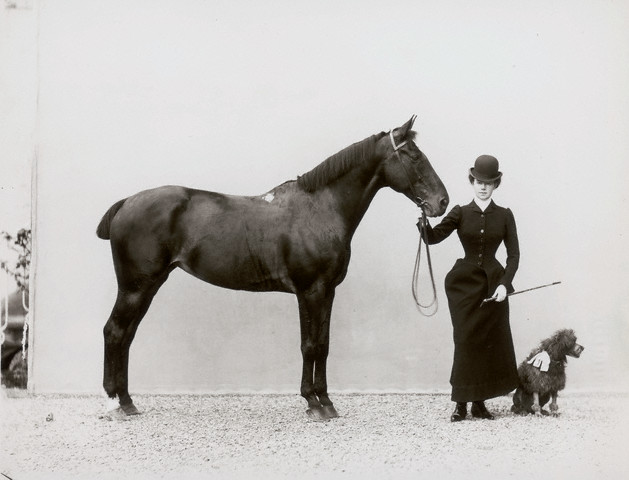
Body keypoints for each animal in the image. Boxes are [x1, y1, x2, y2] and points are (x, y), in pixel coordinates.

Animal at [97, 116, 446, 420]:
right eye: (414, 156)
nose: (441, 202)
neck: (320, 209)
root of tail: (126, 202)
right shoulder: (309, 291)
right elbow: (309, 345)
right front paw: (313, 403)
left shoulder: (328, 291)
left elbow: (324, 345)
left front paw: (327, 402)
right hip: (135, 287)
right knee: (114, 332)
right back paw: (114, 403)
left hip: (148, 286)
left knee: (127, 335)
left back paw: (127, 401)